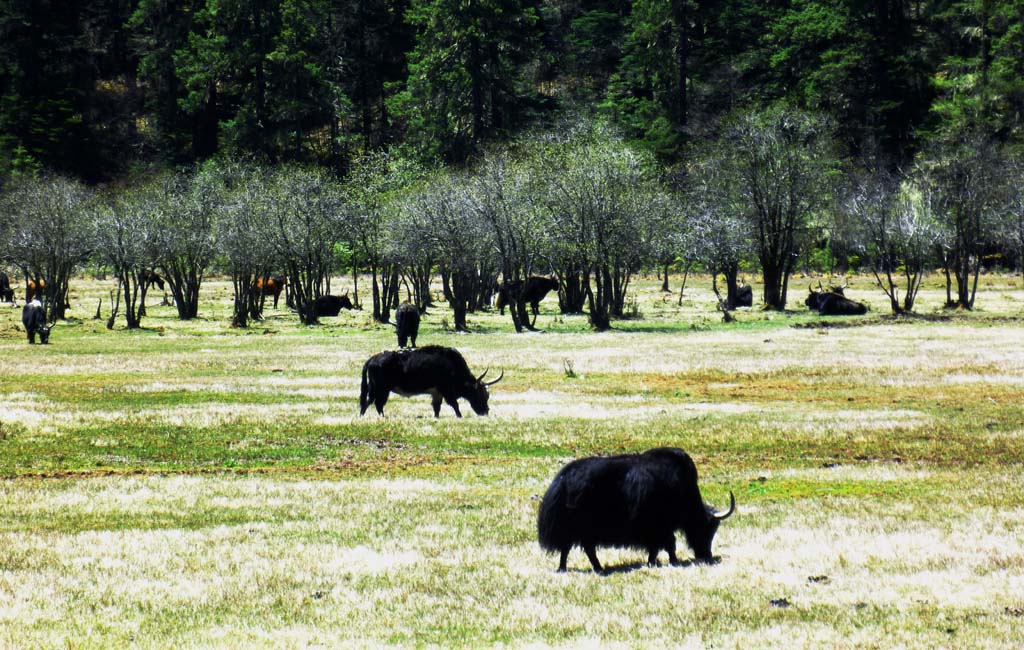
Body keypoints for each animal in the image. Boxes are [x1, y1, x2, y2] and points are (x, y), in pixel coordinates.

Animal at [360, 348, 503, 419]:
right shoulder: (446, 390)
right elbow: (455, 404)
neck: (453, 366)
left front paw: (436, 418)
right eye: (480, 394)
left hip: (381, 390)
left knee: (375, 403)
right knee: (371, 402)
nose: (485, 411)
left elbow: (436, 407)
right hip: (379, 389)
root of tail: (372, 359)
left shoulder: (436, 393)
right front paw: (460, 416)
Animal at [540, 448, 733, 573]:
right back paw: (584, 568)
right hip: (580, 528)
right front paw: (673, 561)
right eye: (708, 528)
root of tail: (563, 479)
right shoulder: (661, 526)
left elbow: (658, 546)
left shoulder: (657, 530)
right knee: (577, 548)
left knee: (576, 548)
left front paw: (652, 562)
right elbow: (669, 544)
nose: (706, 556)